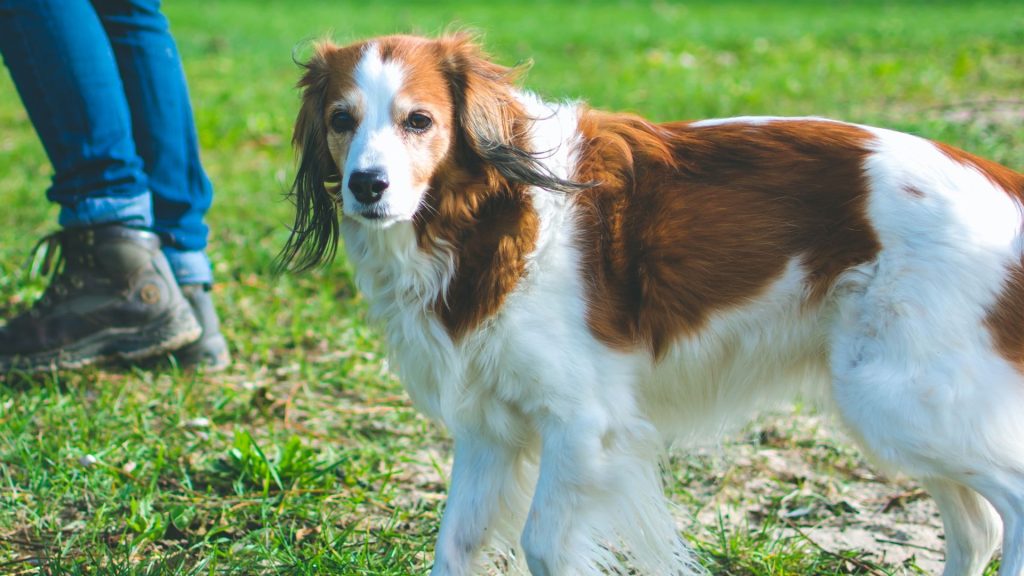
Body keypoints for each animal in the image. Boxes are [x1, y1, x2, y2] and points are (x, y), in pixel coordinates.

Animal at [284, 32, 1024, 573]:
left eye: (419, 121)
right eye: (341, 120)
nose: (366, 185)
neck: (487, 211)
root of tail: (1000, 181)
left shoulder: (585, 422)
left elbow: (542, 543)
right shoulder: (490, 428)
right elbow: (456, 547)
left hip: (899, 398)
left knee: (1009, 508)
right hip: (902, 411)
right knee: (975, 530)